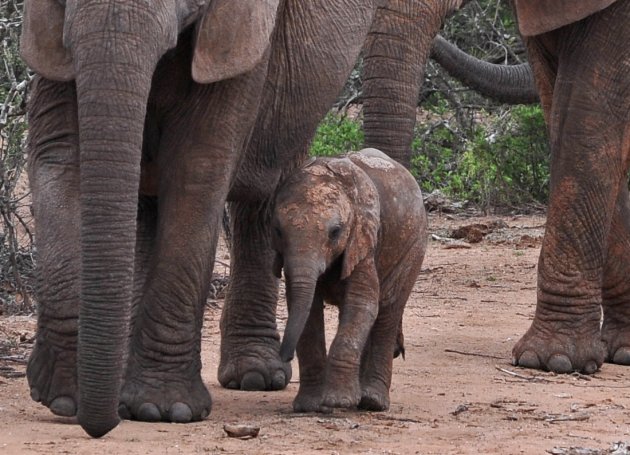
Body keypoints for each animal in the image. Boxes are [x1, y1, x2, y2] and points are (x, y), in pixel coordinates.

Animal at [272, 149, 430, 414]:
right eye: (278, 231)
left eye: (335, 232)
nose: (284, 357)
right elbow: (307, 311)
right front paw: (309, 406)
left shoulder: (363, 240)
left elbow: (362, 304)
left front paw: (339, 402)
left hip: (414, 247)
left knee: (387, 312)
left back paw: (372, 402)